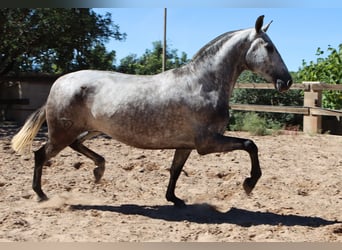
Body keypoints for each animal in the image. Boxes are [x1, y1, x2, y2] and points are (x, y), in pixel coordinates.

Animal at [12, 15, 292, 207]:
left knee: (76, 146)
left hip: (90, 130)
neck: (202, 83)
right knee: (40, 155)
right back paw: (41, 195)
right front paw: (249, 183)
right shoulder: (207, 142)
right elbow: (250, 144)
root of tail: (58, 83)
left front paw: (174, 199)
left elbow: (175, 170)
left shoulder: (186, 145)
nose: (287, 81)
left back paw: (99, 171)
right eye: (269, 47)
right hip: (62, 132)